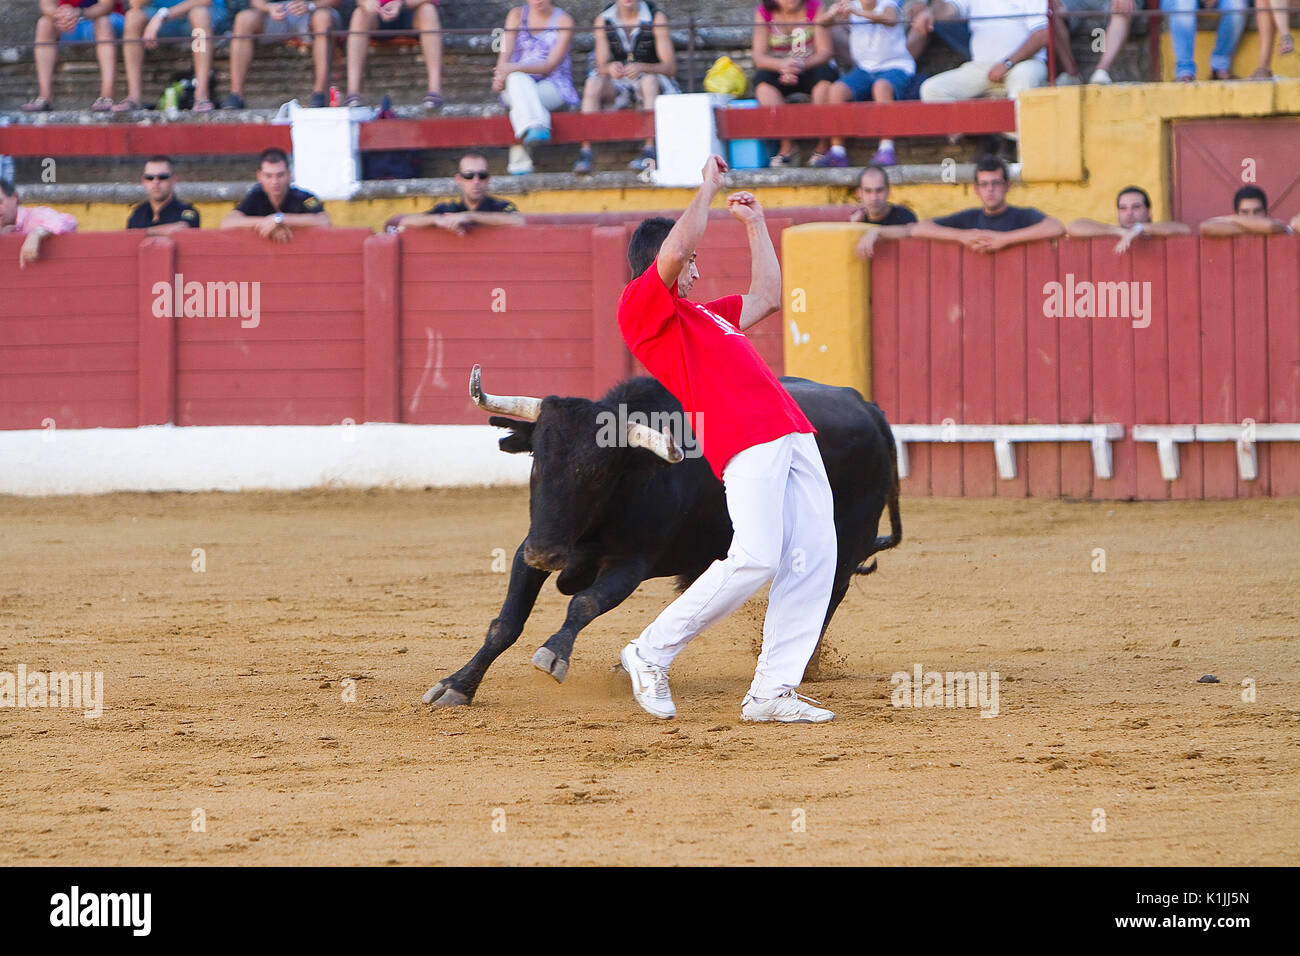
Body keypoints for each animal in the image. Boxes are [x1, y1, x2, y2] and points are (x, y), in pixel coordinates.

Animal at [421, 374, 899, 712]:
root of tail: (867, 407)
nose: (548, 555)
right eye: (538, 459)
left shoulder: (632, 563)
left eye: (597, 472)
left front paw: (554, 654)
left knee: (827, 595)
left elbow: (585, 603)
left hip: (841, 543)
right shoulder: (531, 543)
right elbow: (506, 623)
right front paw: (456, 685)